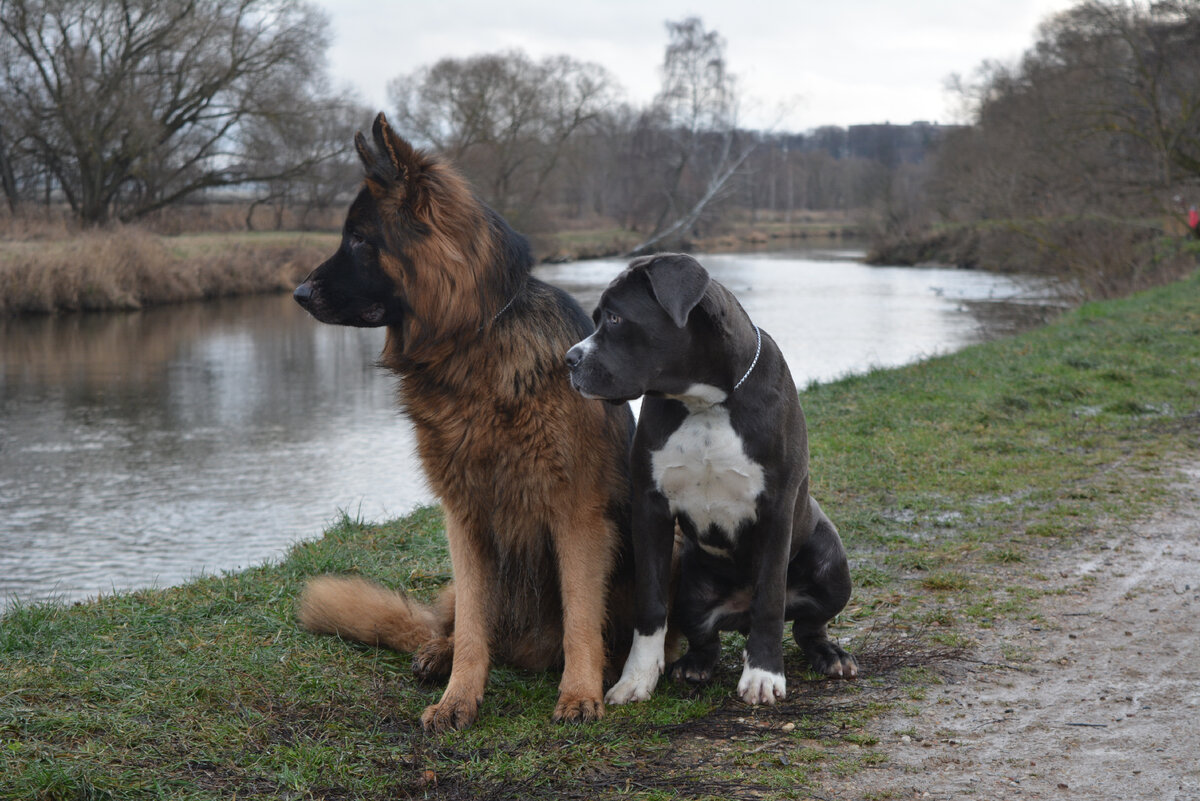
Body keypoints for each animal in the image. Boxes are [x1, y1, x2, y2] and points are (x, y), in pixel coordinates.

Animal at [561, 253, 854, 705]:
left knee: (808, 624)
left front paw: (763, 675)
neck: (705, 402)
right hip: (691, 588)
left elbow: (770, 600)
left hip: (832, 564)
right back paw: (693, 666)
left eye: (614, 317)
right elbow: (650, 604)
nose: (569, 360)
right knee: (705, 637)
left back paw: (829, 655)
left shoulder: (777, 510)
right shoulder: (651, 509)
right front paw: (636, 678)